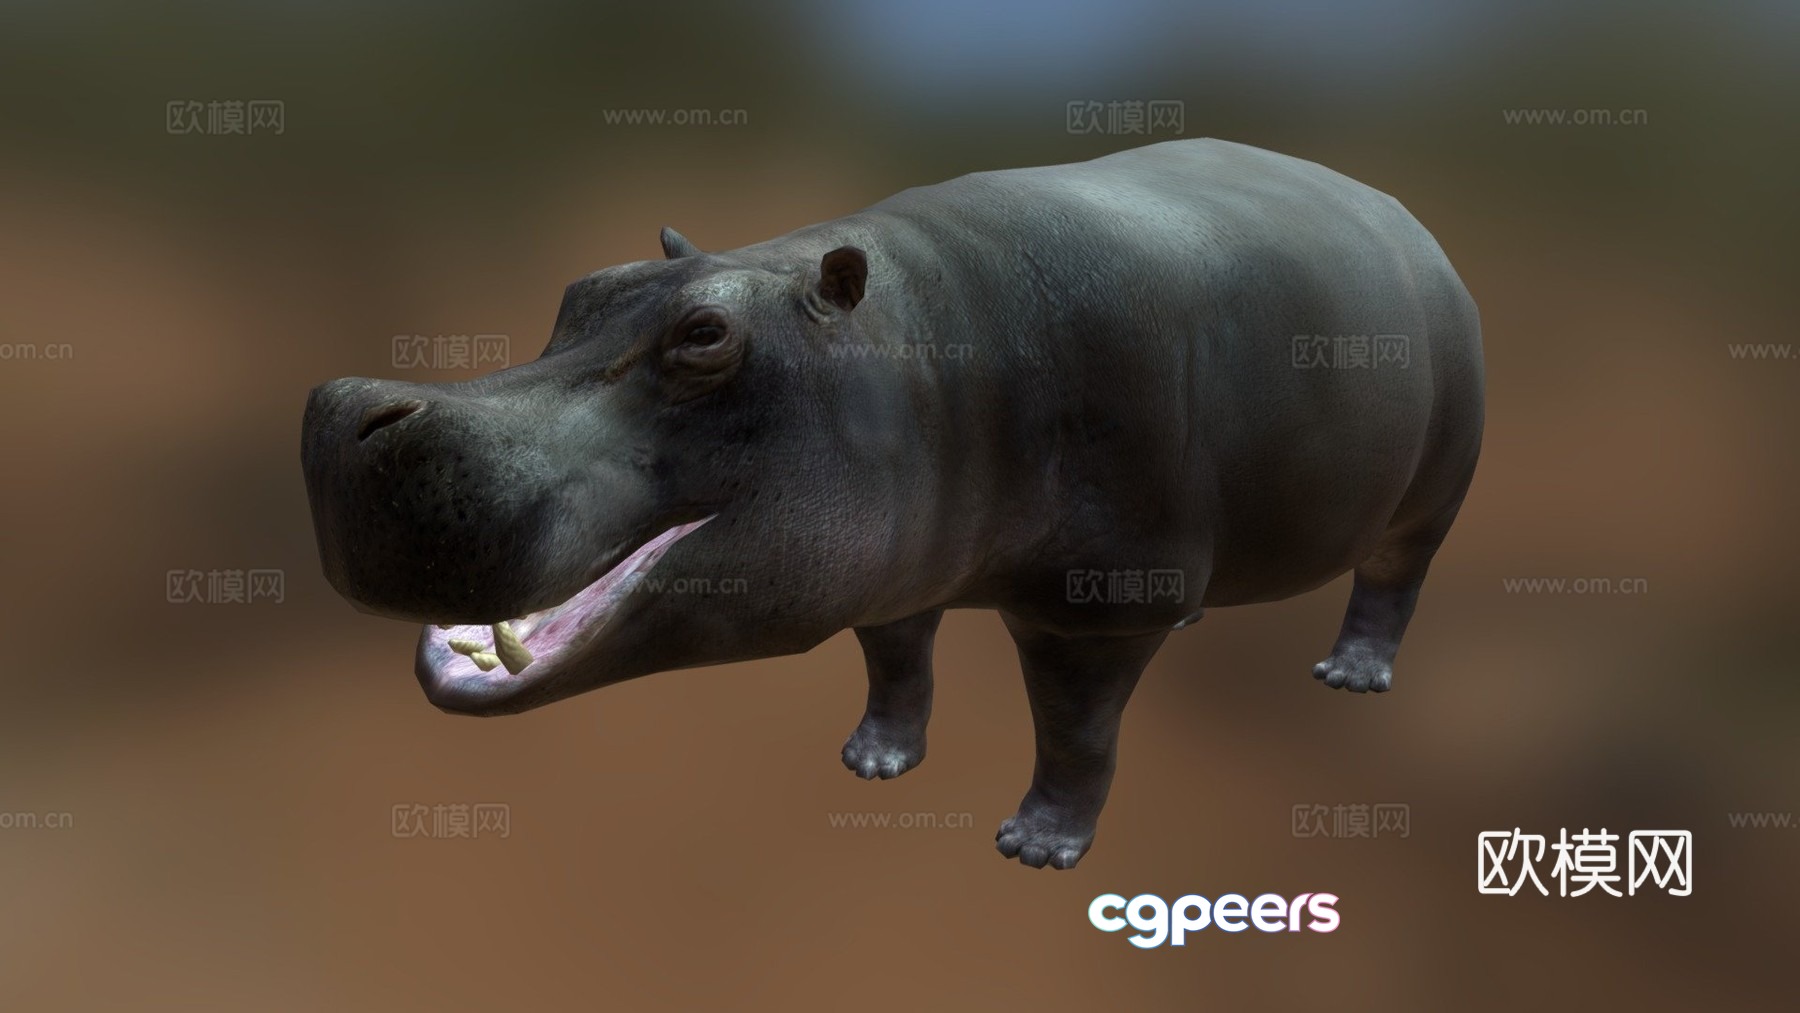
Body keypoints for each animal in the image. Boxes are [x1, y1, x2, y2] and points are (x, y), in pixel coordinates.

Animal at [301, 138, 1483, 870]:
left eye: (705, 336)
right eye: (584, 286)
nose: (343, 407)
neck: (917, 338)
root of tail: (1409, 219)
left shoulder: (1093, 606)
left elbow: (1075, 729)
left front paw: (1038, 846)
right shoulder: (892, 556)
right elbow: (897, 657)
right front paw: (873, 761)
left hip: (1430, 494)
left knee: (1395, 579)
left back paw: (1352, 673)